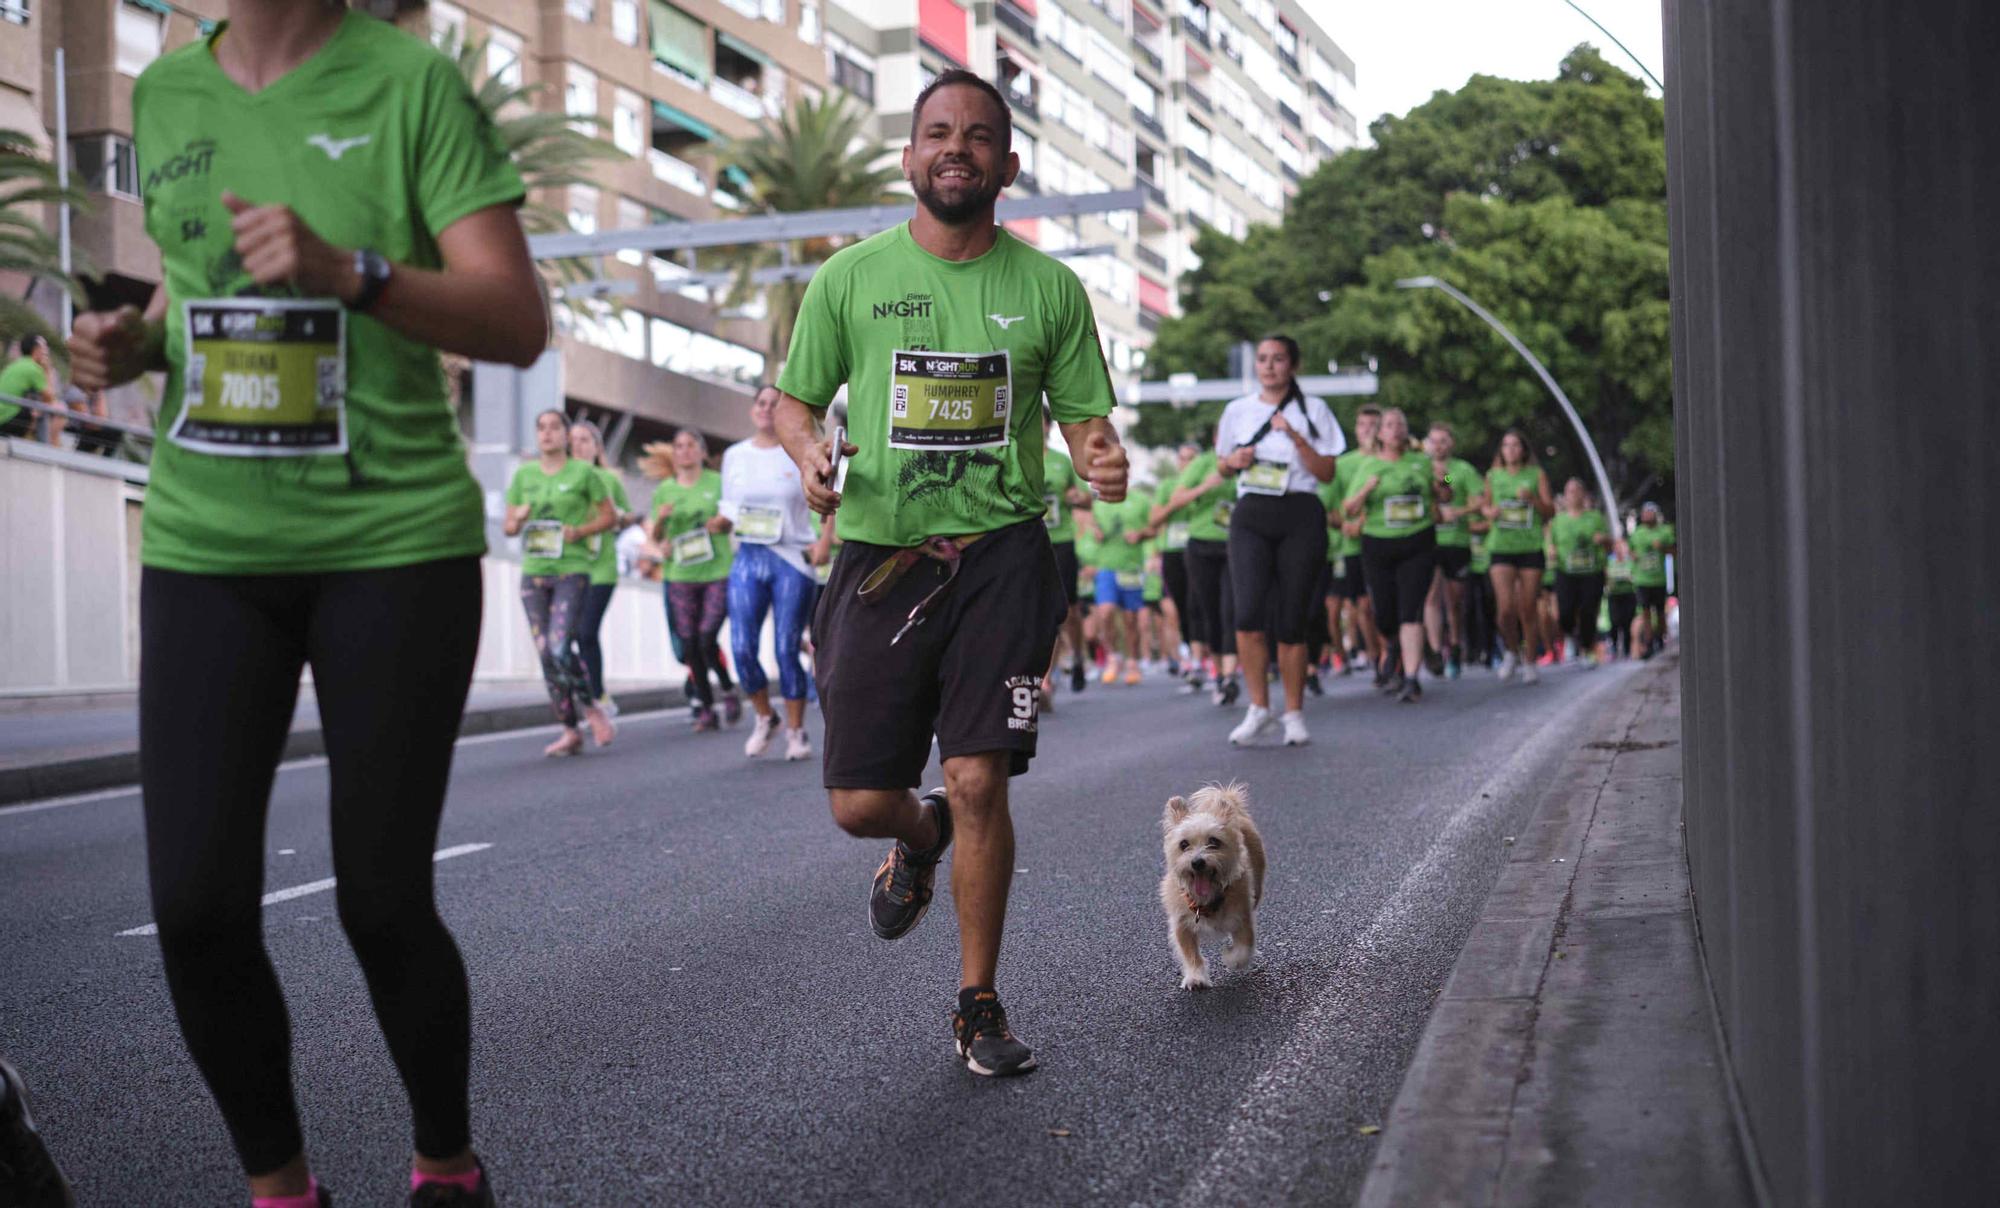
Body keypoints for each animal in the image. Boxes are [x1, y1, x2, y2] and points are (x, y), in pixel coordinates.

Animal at [1160, 784, 1264, 992]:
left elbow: (1244, 946)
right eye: (1184, 844)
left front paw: (1233, 959)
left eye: (1214, 841)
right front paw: (1196, 977)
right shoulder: (1182, 924)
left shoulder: (1243, 916)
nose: (1197, 862)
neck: (1206, 901)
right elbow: (1190, 954)